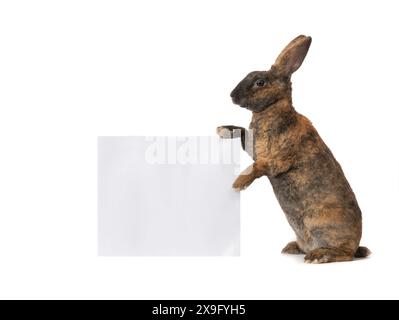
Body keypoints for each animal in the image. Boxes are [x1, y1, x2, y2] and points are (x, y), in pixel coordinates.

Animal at [219, 35, 372, 264]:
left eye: (260, 82)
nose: (232, 95)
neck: (272, 110)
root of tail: (356, 245)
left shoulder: (279, 158)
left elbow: (257, 167)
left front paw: (238, 184)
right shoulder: (254, 146)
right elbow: (243, 133)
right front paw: (222, 130)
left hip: (325, 227)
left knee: (345, 255)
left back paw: (319, 255)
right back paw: (293, 248)